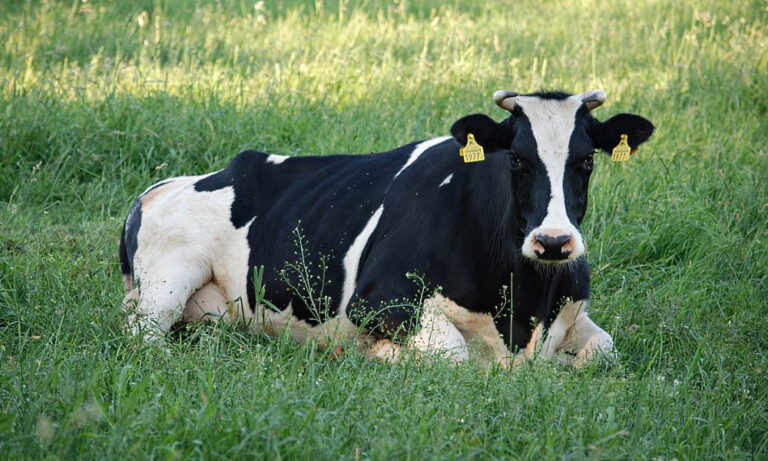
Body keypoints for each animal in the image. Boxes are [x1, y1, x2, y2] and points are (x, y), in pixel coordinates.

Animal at [119, 89, 654, 367]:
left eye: (586, 160)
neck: (524, 307)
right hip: (170, 276)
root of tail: (161, 187)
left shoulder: (574, 310)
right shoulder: (378, 301)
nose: (553, 241)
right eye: (517, 159)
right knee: (142, 333)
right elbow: (453, 354)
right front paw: (380, 356)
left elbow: (603, 350)